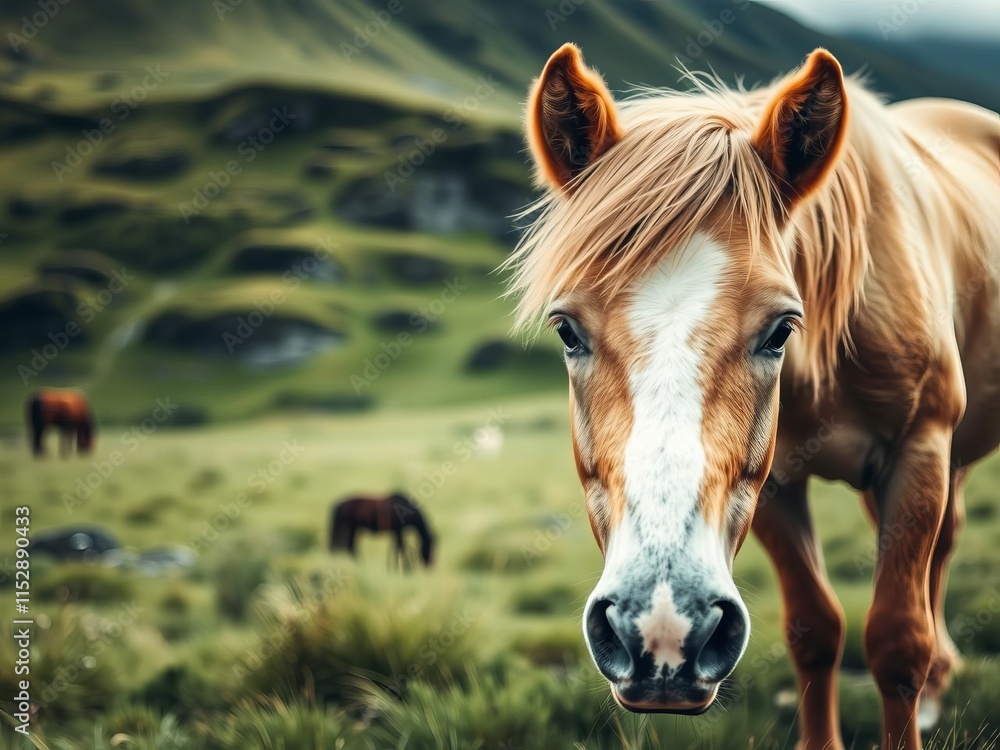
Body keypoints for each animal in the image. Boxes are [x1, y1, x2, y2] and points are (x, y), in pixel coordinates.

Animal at [506, 44, 998, 749]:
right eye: (566, 329)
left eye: (781, 329)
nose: (661, 631)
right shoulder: (771, 484)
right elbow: (814, 630)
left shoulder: (919, 450)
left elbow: (899, 640)